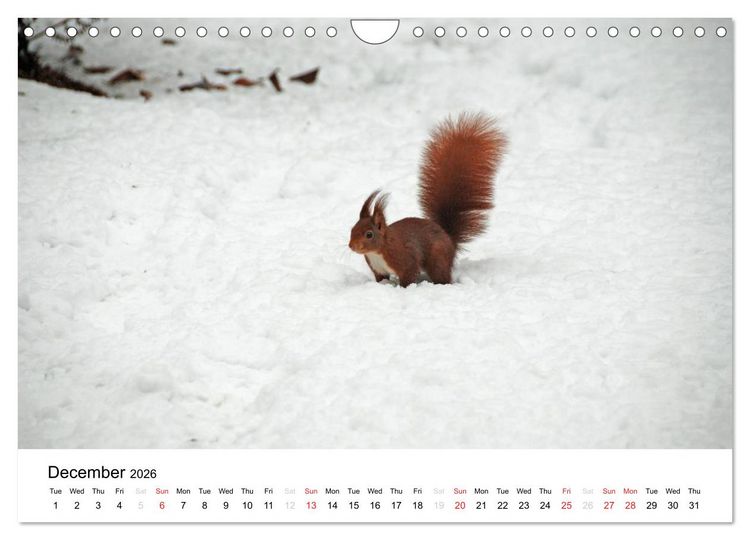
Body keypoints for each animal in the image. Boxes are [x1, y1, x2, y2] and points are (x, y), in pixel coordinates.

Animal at [349, 112, 507, 287]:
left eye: (369, 234)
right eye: (352, 229)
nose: (351, 246)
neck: (379, 250)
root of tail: (449, 240)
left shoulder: (405, 260)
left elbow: (409, 275)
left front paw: (403, 288)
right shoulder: (378, 269)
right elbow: (381, 279)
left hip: (437, 259)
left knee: (443, 277)